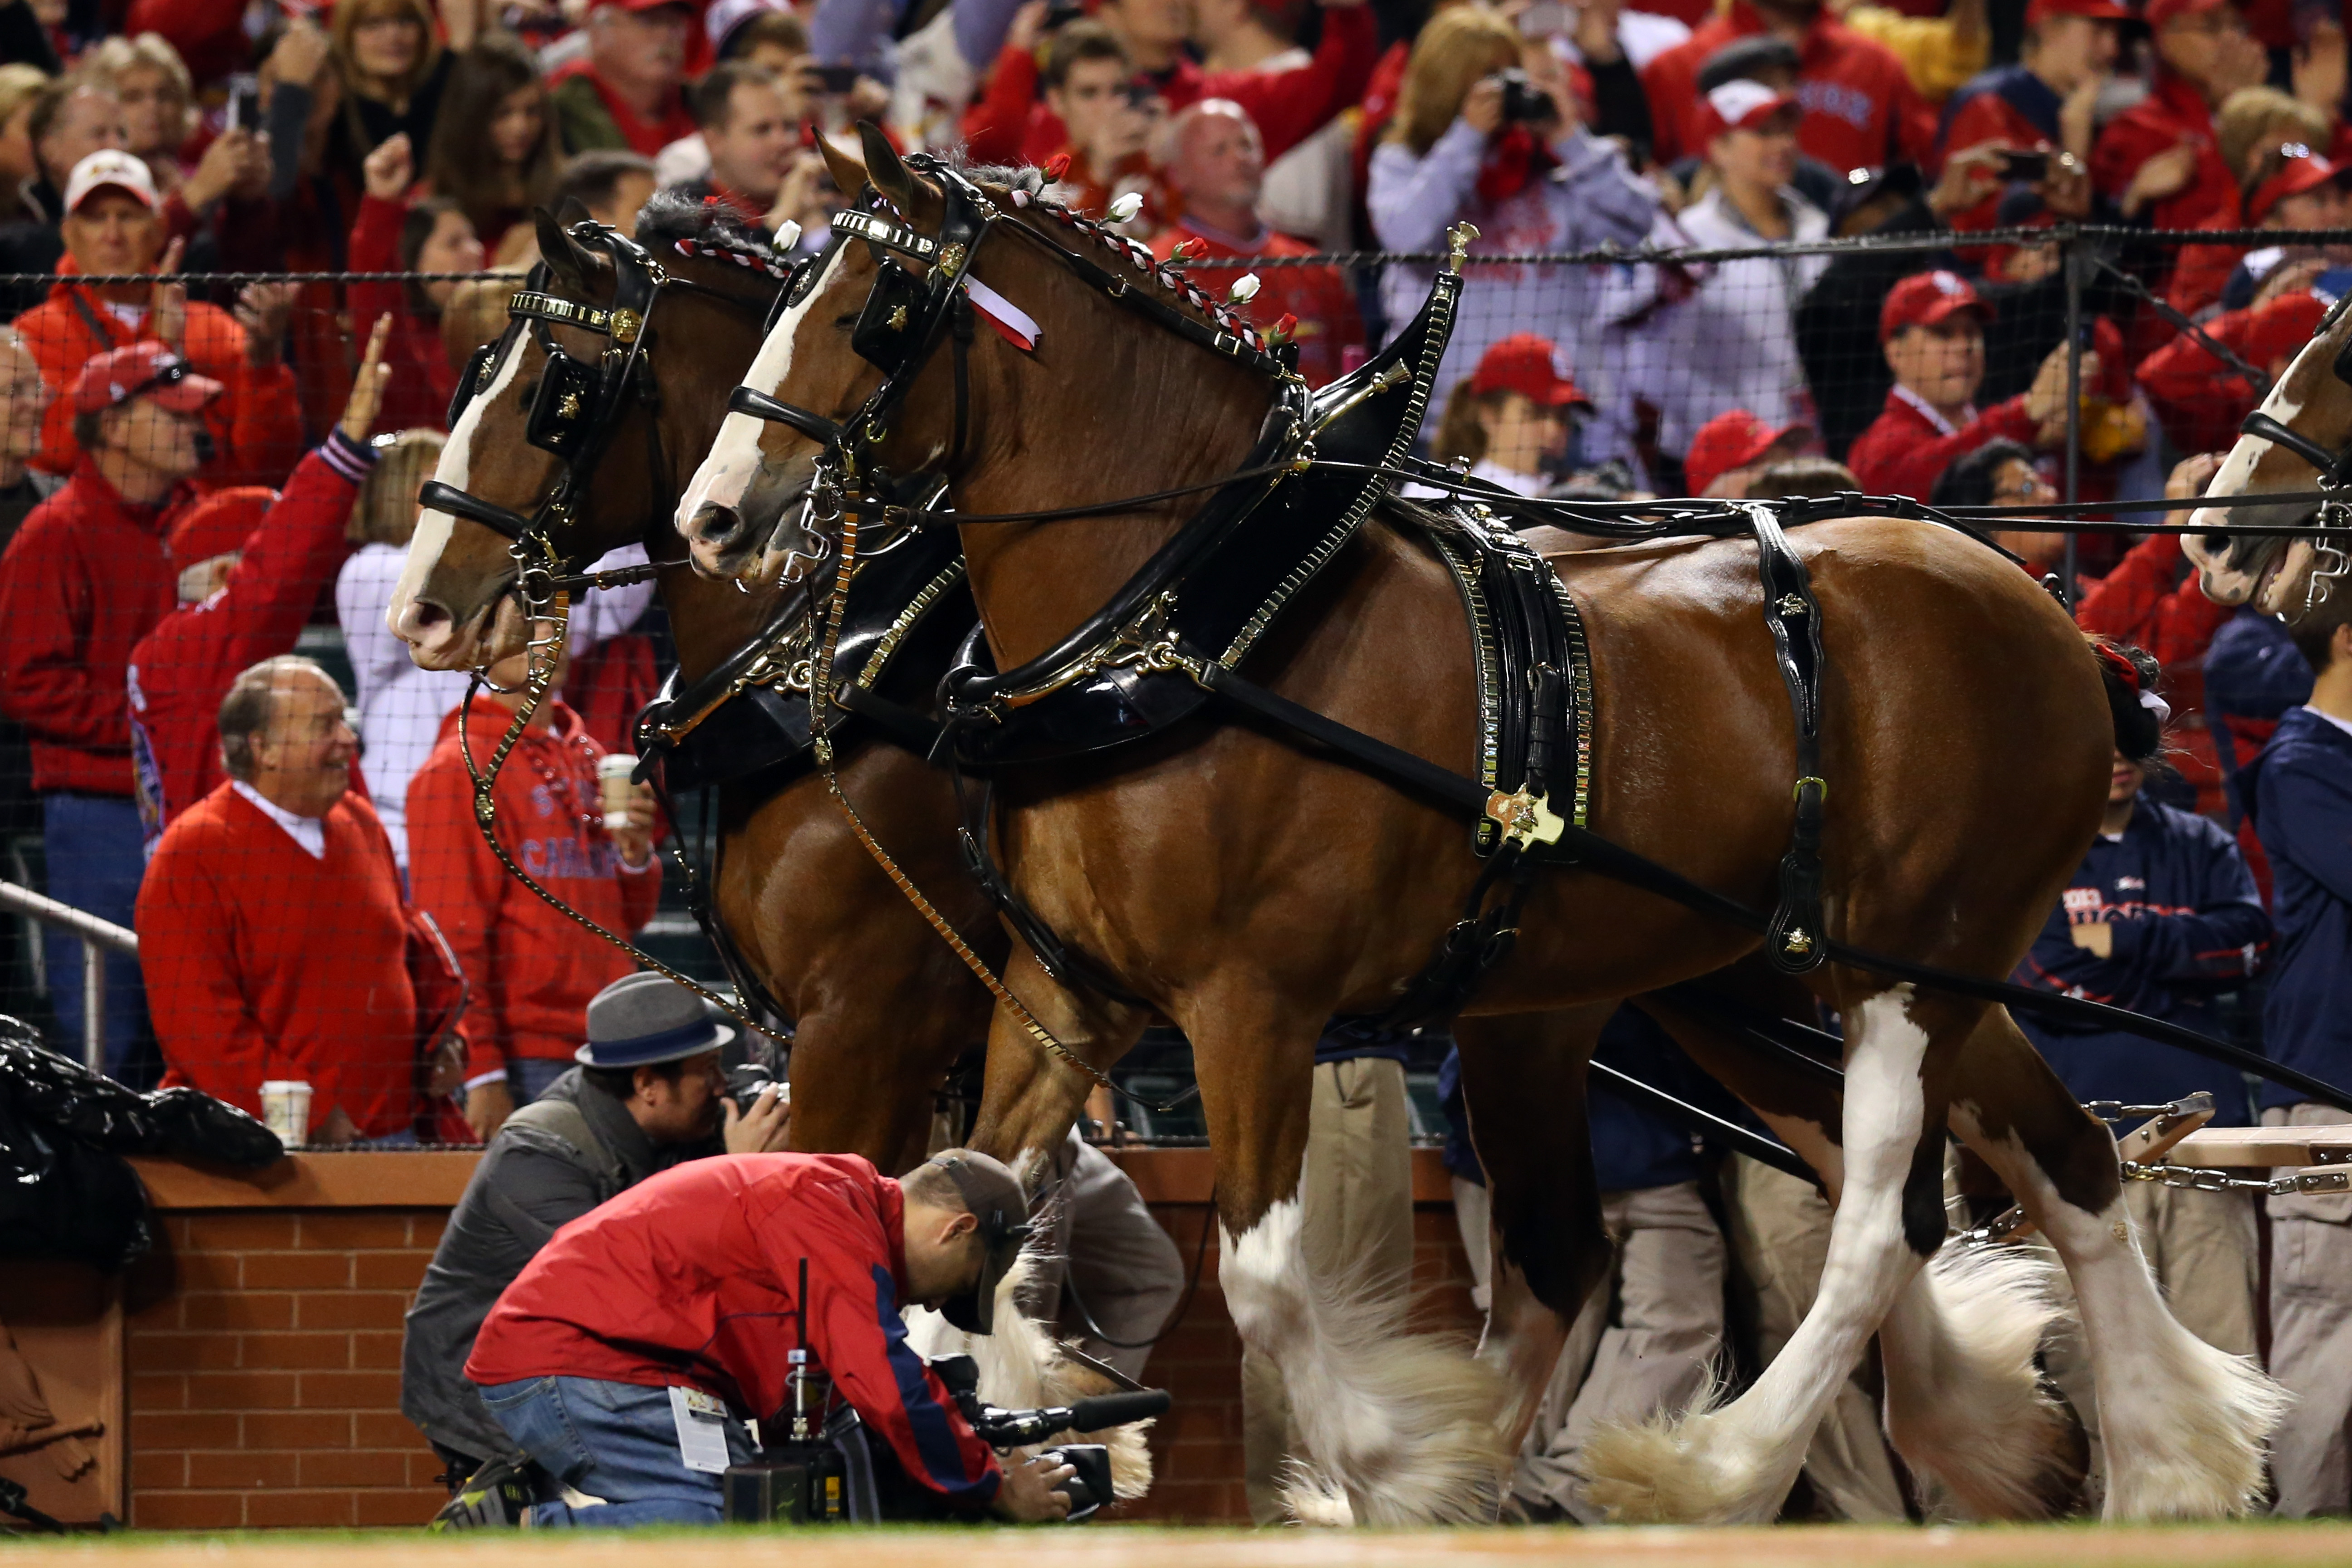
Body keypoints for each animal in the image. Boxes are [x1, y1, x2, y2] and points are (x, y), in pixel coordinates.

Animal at [672, 141, 2286, 1523]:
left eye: (871, 311)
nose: (711, 516)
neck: (1192, 613)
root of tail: (2051, 617)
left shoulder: (1250, 1004)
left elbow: (1260, 1278)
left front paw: (1393, 1460)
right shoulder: (1062, 1000)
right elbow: (965, 1214)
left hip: (1902, 967)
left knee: (1883, 1208)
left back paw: (1716, 1468)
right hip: (1804, 975)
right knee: (2058, 1163)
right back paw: (2152, 1464)